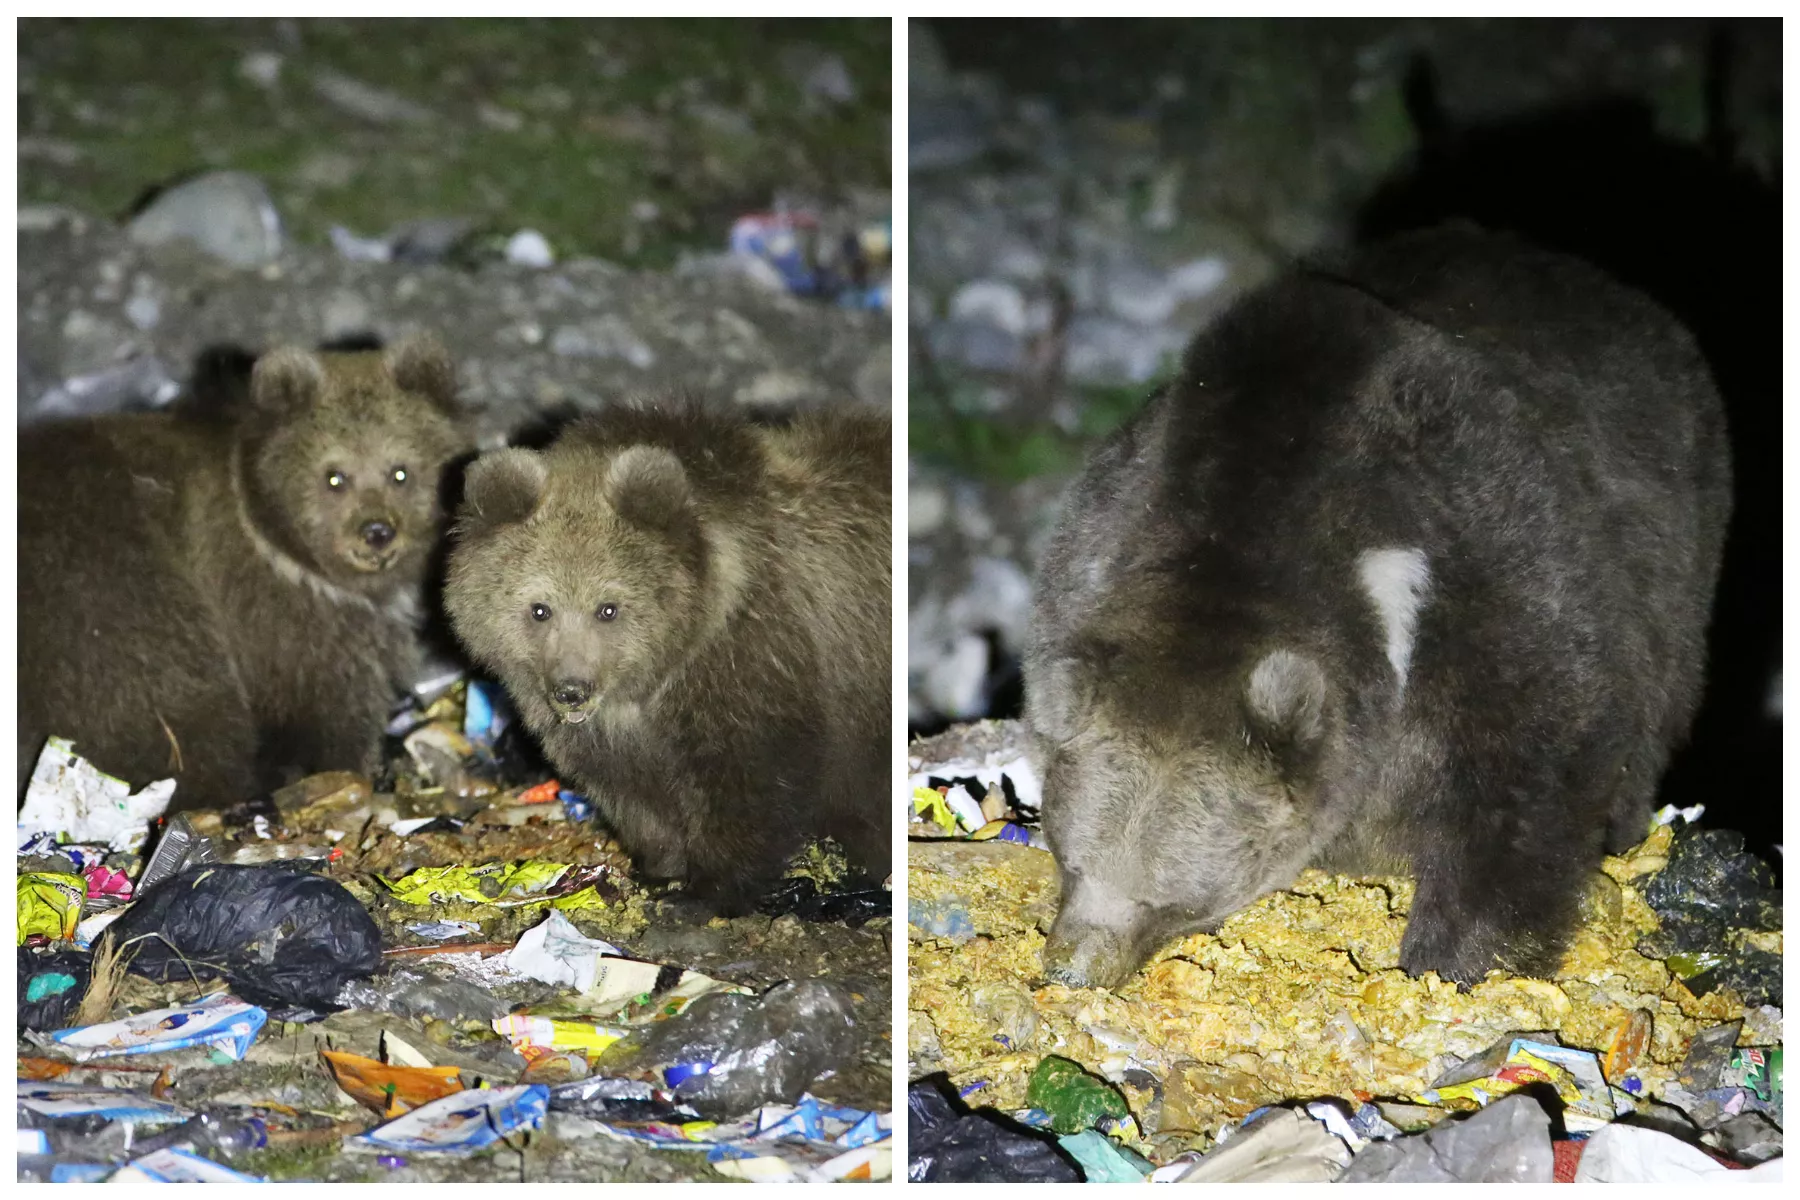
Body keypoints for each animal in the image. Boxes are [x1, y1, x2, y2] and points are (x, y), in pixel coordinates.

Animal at [18, 334, 471, 812]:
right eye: (334, 476)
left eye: (400, 471)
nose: (377, 532)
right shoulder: (274, 612)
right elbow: (326, 699)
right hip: (107, 584)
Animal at [443, 399, 891, 912]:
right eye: (540, 608)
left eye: (608, 607)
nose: (572, 691)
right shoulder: (606, 735)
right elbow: (635, 795)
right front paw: (659, 870)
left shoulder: (754, 664)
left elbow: (751, 782)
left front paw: (707, 890)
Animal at [1025, 226, 1731, 990]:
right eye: (1071, 860)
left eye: (1172, 901)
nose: (1072, 967)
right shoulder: (1098, 537)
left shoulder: (1488, 578)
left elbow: (1526, 788)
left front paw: (1453, 962)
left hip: (1679, 556)